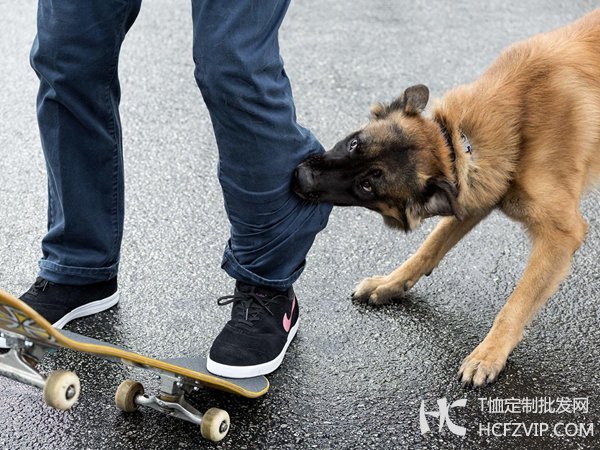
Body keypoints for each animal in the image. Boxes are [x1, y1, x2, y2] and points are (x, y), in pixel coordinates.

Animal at [292, 8, 600, 384]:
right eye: (354, 144)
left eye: (367, 185)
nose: (300, 175)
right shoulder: (472, 197)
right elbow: (430, 246)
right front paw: (391, 283)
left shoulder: (560, 235)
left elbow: (516, 303)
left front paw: (488, 354)